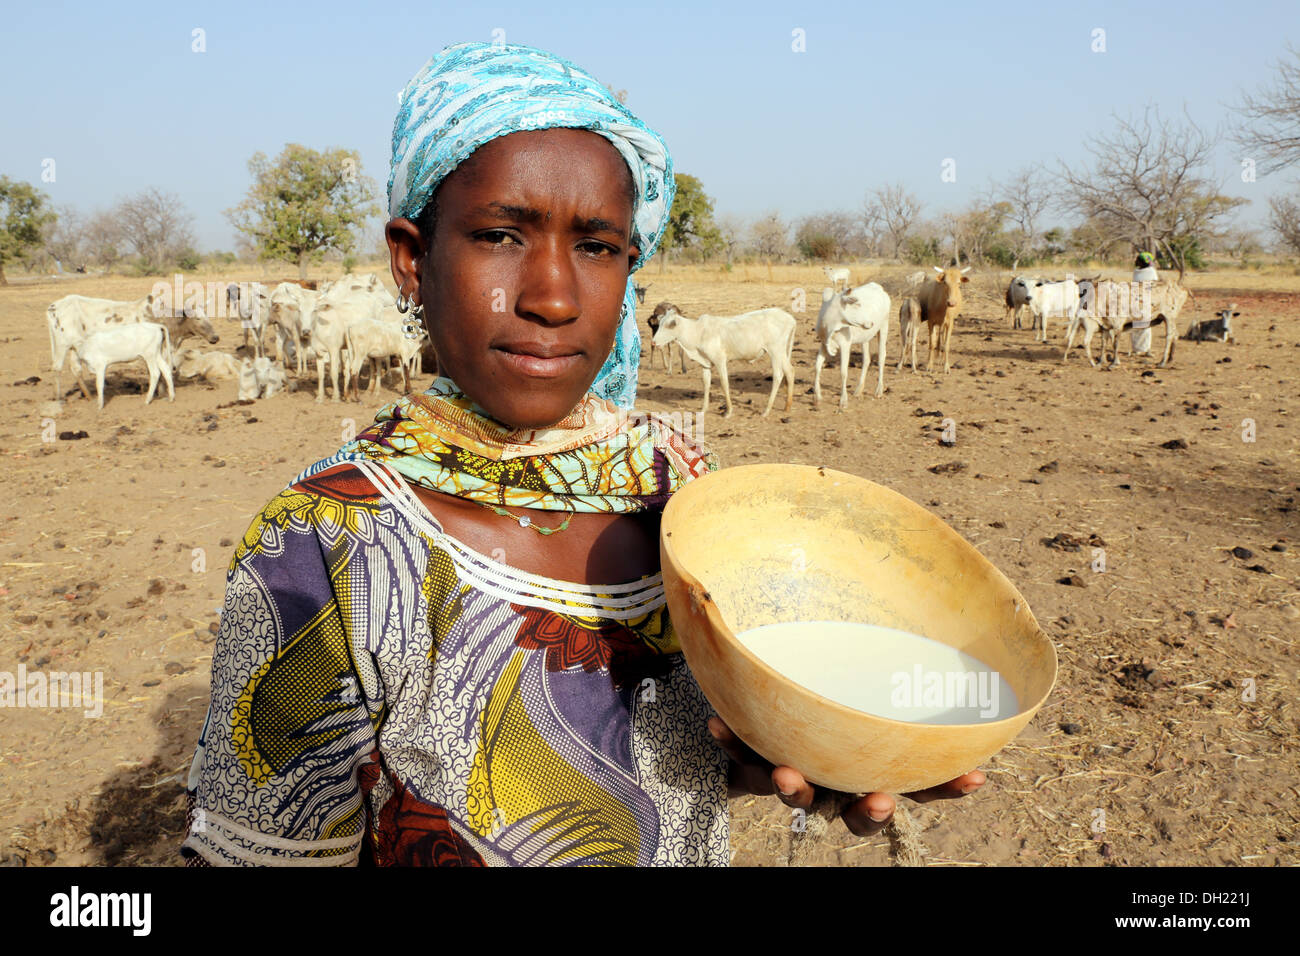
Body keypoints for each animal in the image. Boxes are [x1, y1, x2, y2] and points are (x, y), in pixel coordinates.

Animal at [650, 304, 790, 413]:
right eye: (659, 324)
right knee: (790, 372)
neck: (698, 332)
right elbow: (706, 383)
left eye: (668, 325)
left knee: (778, 376)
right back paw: (787, 406)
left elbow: (724, 383)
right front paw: (704, 409)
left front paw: (729, 410)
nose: (653, 342)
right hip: (782, 353)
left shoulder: (720, 361)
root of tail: (788, 317)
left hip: (775, 352)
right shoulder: (705, 363)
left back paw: (767, 410)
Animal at [811, 280, 894, 408]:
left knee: (881, 357)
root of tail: (878, 287)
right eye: (857, 304)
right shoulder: (824, 344)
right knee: (867, 359)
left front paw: (843, 401)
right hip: (865, 337)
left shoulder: (845, 345)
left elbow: (843, 372)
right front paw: (817, 397)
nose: (871, 323)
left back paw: (879, 390)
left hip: (884, 325)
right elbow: (817, 367)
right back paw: (858, 390)